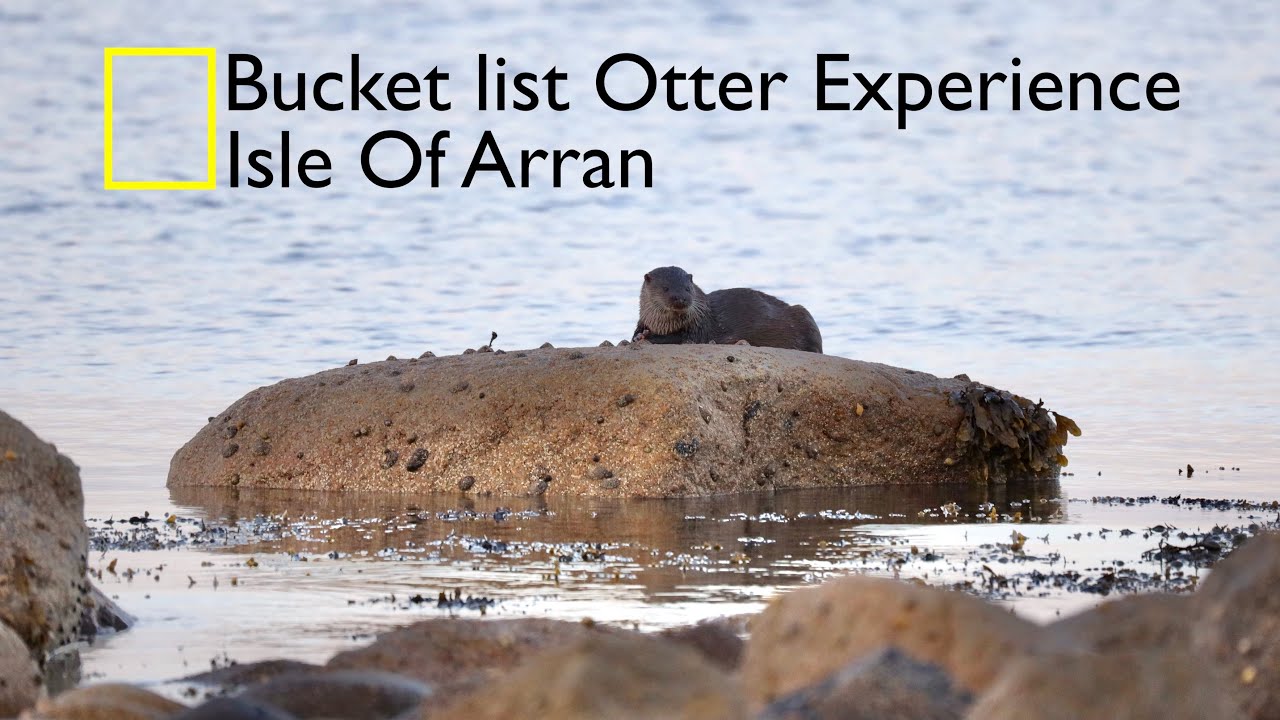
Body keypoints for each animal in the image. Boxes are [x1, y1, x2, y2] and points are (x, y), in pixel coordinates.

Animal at [633, 266, 823, 353]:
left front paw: (647, 336)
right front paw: (638, 335)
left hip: (805, 316)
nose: (681, 298)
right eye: (665, 288)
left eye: (687, 288)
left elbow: (678, 338)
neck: (662, 324)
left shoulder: (697, 328)